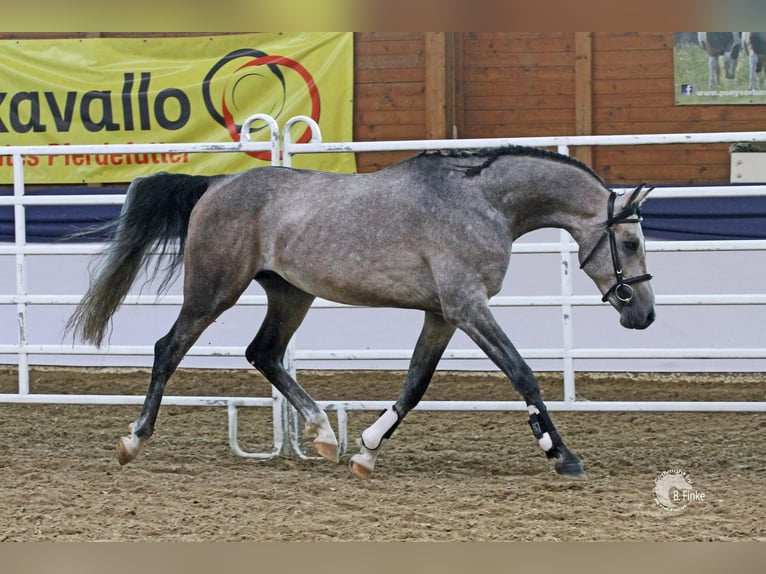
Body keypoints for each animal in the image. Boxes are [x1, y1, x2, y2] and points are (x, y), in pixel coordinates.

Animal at [66, 146, 656, 480]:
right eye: (629, 242)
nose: (644, 316)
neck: (481, 201)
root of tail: (216, 183)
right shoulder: (467, 305)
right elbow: (523, 374)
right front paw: (563, 456)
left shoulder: (442, 314)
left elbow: (415, 385)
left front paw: (367, 452)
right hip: (213, 291)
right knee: (169, 348)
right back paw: (133, 440)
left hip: (290, 294)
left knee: (264, 353)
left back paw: (325, 435)